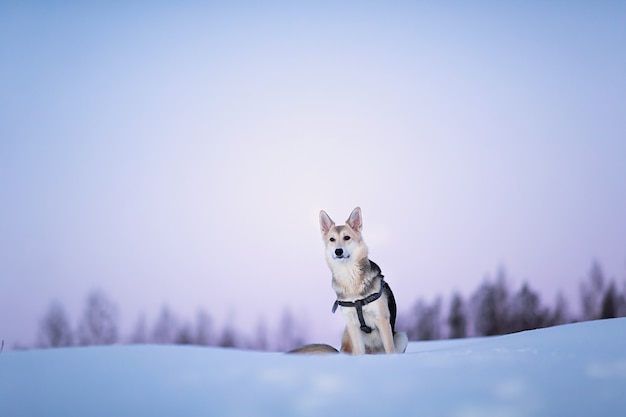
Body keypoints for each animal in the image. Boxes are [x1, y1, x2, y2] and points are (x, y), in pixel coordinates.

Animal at [288, 208, 408, 354]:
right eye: (332, 239)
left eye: (347, 238)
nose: (338, 251)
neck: (350, 276)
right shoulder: (352, 325)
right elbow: (359, 353)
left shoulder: (383, 320)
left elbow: (390, 350)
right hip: (347, 334)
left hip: (401, 336)